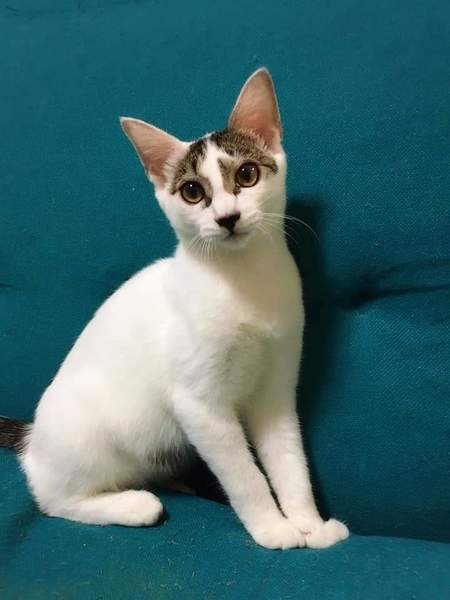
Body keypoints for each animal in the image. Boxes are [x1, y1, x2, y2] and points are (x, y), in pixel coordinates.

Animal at [0, 69, 349, 550]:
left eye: (247, 174)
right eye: (192, 192)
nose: (227, 217)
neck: (244, 282)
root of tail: (33, 440)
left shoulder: (276, 392)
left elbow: (288, 460)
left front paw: (309, 523)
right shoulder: (199, 405)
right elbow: (244, 475)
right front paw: (272, 527)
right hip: (86, 436)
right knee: (52, 499)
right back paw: (132, 504)